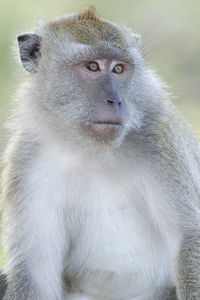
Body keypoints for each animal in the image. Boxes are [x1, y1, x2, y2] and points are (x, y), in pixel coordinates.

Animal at [0, 5, 200, 300]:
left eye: (118, 69)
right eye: (92, 66)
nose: (116, 100)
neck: (88, 148)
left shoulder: (160, 138)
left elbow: (187, 238)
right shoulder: (27, 160)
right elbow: (36, 269)